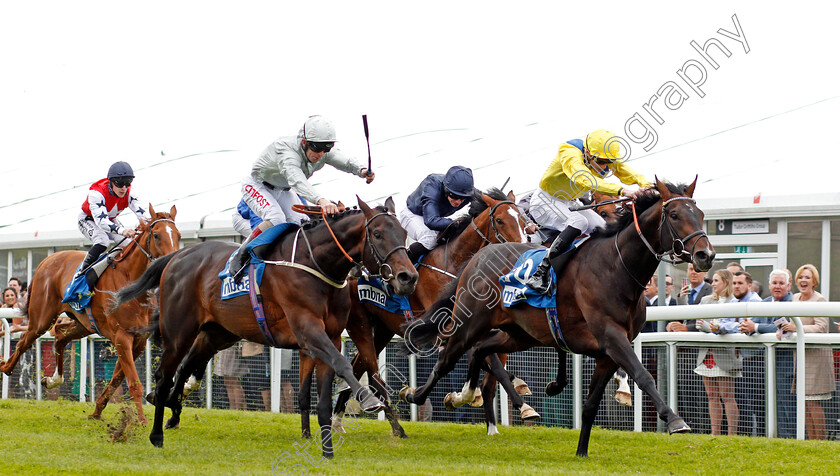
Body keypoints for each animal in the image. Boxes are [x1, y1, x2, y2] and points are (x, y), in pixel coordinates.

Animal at [0, 205, 179, 424]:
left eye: (178, 235)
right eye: (156, 235)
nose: (173, 262)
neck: (132, 285)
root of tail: (47, 260)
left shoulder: (138, 340)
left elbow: (117, 378)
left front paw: (97, 411)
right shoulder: (122, 337)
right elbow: (134, 383)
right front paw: (143, 422)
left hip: (83, 324)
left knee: (60, 334)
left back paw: (53, 379)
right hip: (42, 318)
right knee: (24, 340)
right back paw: (5, 367)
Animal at [111, 197, 420, 458]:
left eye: (404, 233)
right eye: (377, 234)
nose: (408, 277)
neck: (315, 265)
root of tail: (176, 256)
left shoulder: (329, 336)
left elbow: (322, 393)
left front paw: (327, 451)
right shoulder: (309, 330)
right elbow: (344, 365)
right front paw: (367, 399)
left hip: (217, 333)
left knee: (188, 365)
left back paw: (174, 411)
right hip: (178, 332)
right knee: (164, 376)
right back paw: (156, 433)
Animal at [298, 189, 528, 438]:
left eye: (524, 221)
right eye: (500, 220)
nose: (522, 251)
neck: (454, 263)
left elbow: (488, 363)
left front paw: (491, 418)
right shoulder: (447, 328)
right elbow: (489, 362)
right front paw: (517, 403)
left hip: (383, 329)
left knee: (360, 365)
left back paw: (339, 419)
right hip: (359, 323)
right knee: (367, 369)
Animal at [404, 179, 720, 458]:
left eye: (701, 215)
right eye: (675, 215)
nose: (705, 254)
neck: (617, 266)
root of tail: (479, 257)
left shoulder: (607, 353)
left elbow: (591, 405)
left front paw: (581, 452)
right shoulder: (611, 337)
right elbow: (643, 375)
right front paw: (675, 420)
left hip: (519, 334)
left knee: (482, 351)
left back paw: (466, 395)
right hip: (468, 323)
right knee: (449, 359)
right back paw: (417, 396)